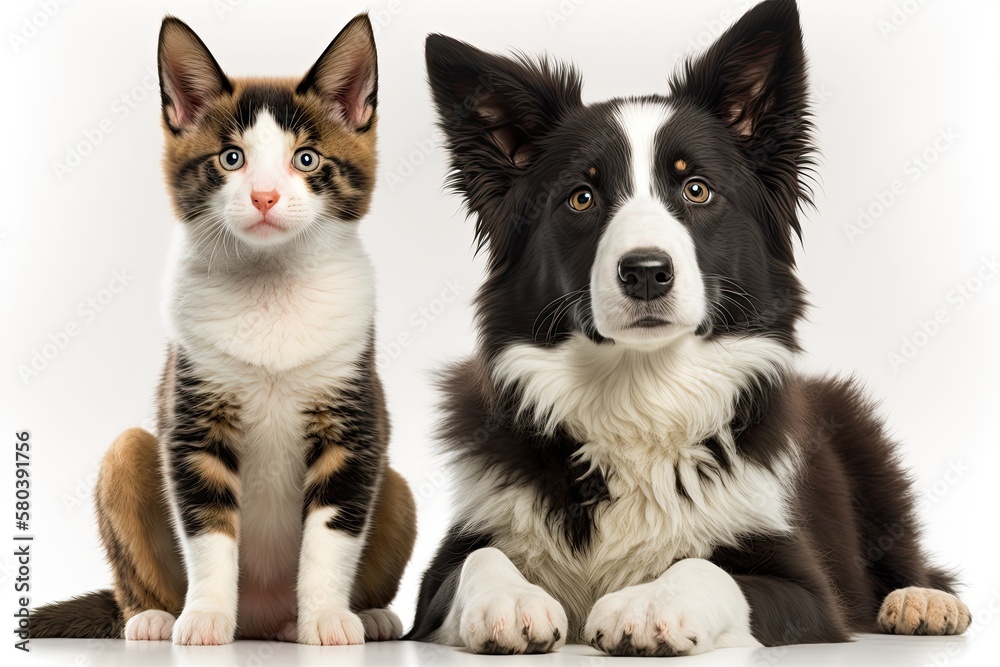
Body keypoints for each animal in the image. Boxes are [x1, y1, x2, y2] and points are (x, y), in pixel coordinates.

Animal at [31, 11, 414, 648]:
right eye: (231, 158)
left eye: (307, 159)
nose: (264, 195)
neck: (271, 284)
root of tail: (259, 621)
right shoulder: (194, 414)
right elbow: (207, 527)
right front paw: (205, 617)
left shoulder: (354, 421)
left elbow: (332, 535)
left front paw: (328, 620)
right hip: (128, 456)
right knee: (129, 471)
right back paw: (152, 616)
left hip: (398, 489)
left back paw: (365, 616)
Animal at [404, 0, 968, 656]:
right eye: (581, 197)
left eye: (696, 189)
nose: (646, 273)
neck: (640, 387)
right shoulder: (440, 574)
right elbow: (477, 561)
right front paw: (511, 600)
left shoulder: (808, 588)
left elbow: (707, 566)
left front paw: (648, 604)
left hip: (867, 447)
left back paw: (923, 601)